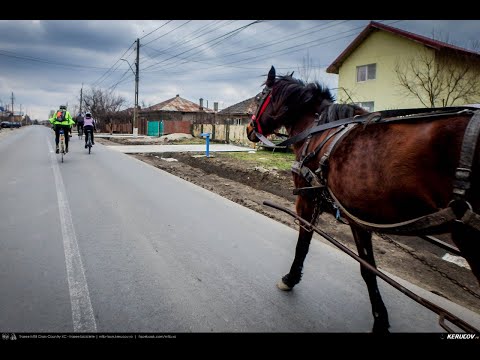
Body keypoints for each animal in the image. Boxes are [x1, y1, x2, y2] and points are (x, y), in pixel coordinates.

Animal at [246, 65, 478, 334]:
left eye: (260, 97)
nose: (248, 129)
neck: (320, 131)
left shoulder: (307, 200)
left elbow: (304, 243)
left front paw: (290, 278)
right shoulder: (358, 216)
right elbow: (369, 269)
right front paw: (380, 317)